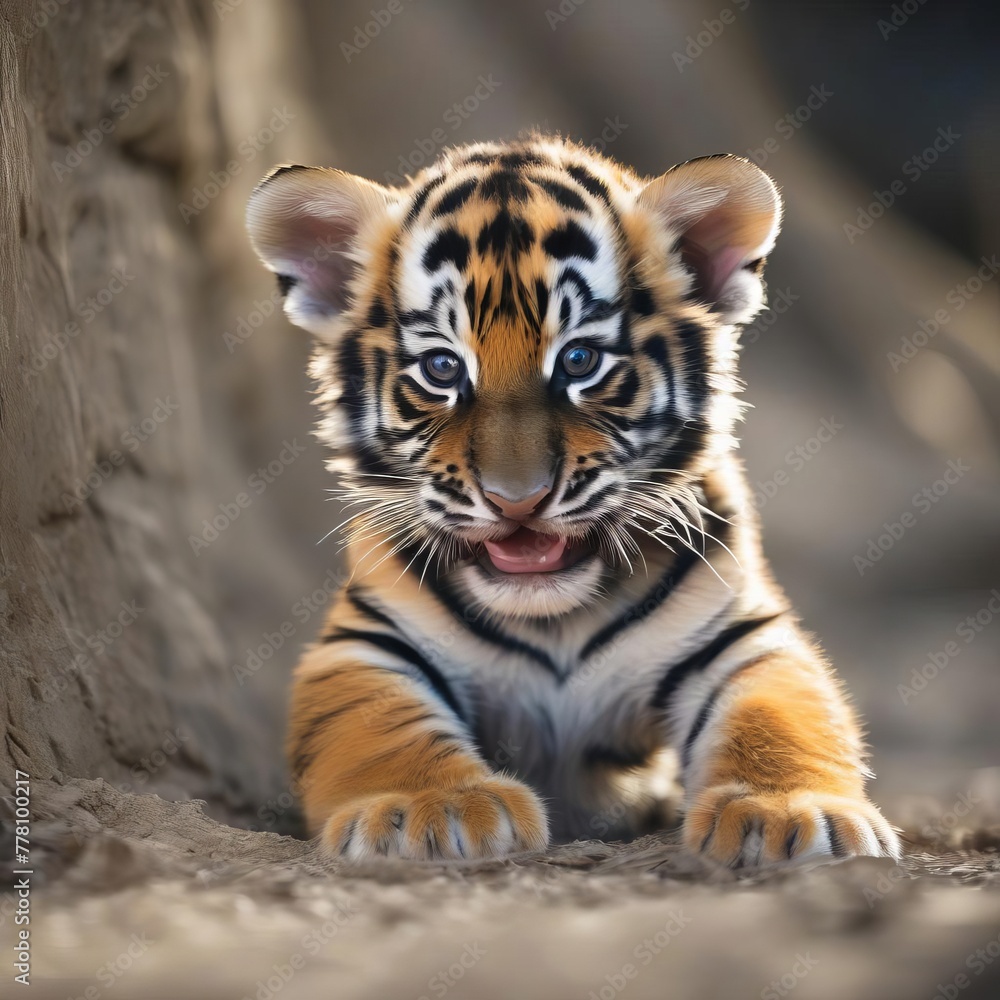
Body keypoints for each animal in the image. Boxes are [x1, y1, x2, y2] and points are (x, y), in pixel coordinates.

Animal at [245, 134, 901, 867]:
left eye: (580, 360)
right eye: (442, 369)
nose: (517, 501)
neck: (553, 621)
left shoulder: (739, 638)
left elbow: (779, 716)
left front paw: (790, 813)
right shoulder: (368, 639)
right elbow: (379, 722)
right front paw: (428, 809)